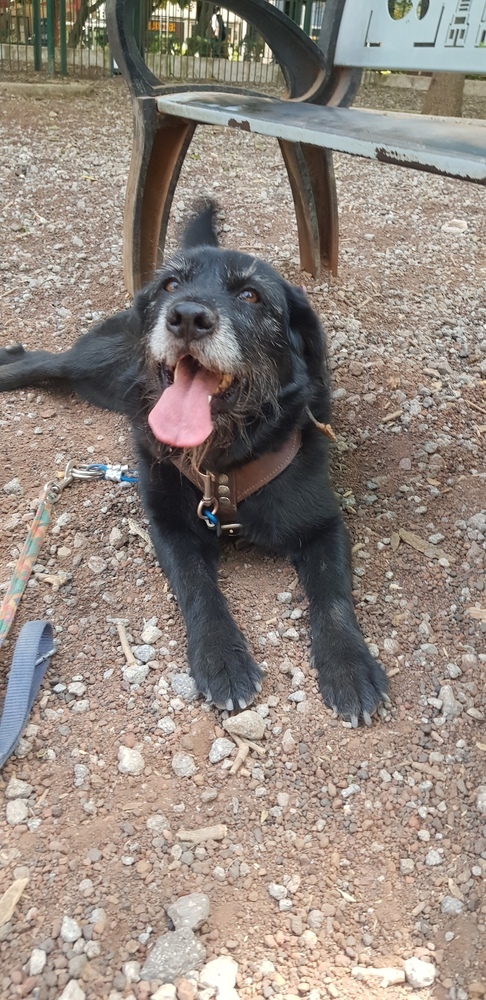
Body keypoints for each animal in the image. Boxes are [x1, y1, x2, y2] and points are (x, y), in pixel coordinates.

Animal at [0, 203, 388, 724]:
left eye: (250, 294)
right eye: (170, 285)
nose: (186, 315)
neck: (221, 468)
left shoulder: (323, 524)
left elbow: (333, 597)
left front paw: (349, 664)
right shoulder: (170, 526)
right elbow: (198, 587)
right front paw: (221, 656)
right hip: (100, 366)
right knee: (43, 360)